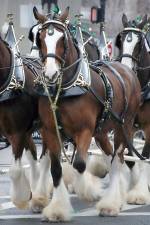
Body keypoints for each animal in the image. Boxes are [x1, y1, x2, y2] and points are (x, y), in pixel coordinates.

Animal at [33, 7, 141, 221]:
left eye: (62, 39)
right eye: (40, 38)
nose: (50, 75)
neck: (66, 89)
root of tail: (126, 69)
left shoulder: (84, 130)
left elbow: (80, 164)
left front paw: (87, 191)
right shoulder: (50, 131)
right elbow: (56, 170)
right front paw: (57, 208)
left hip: (123, 126)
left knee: (118, 159)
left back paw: (110, 203)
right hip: (101, 132)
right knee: (110, 157)